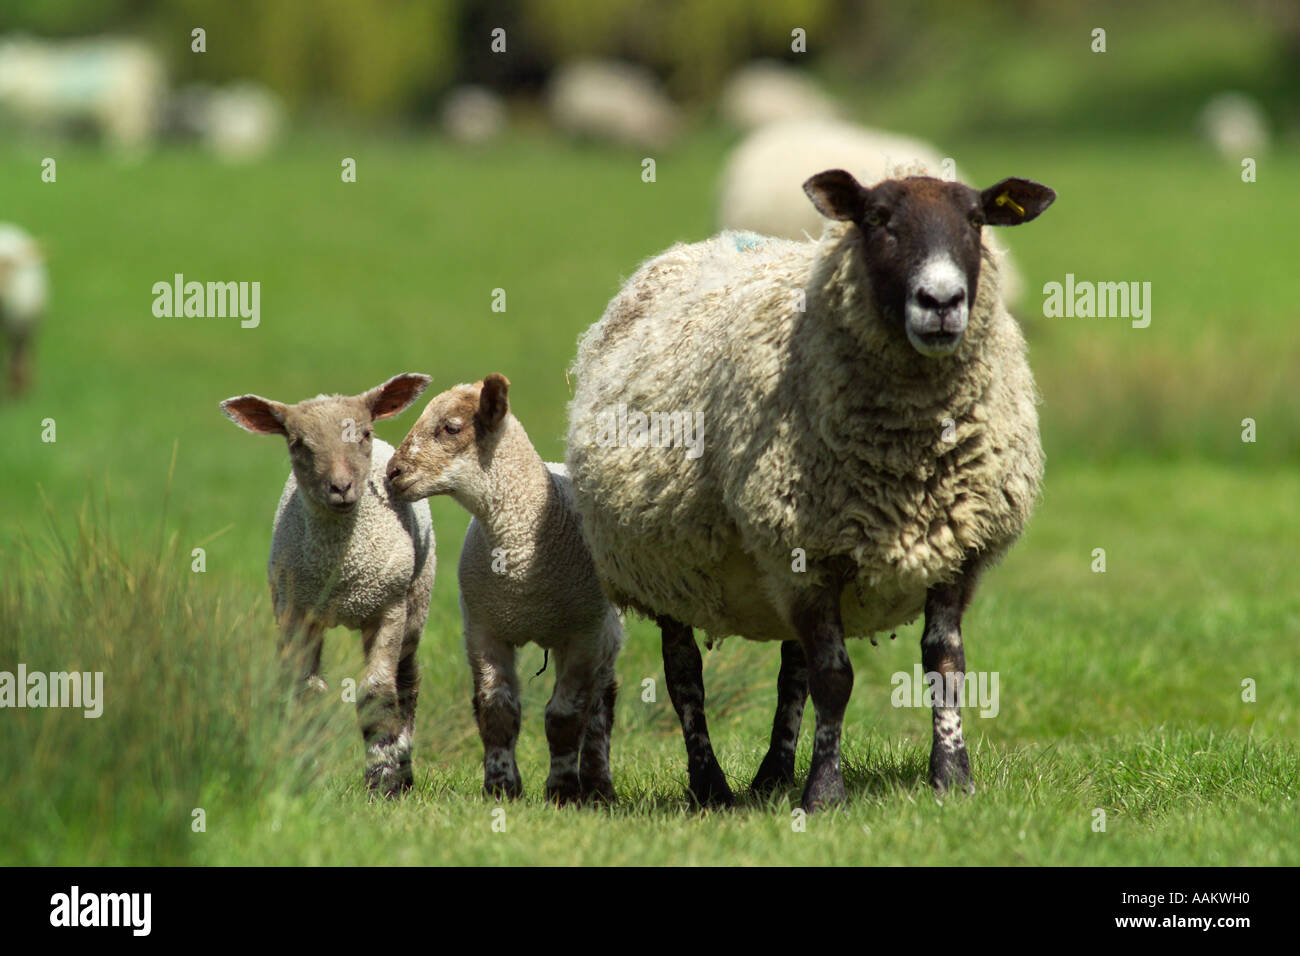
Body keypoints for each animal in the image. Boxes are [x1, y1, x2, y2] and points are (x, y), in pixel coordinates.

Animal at [220, 373, 435, 797]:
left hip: (416, 599)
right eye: (298, 443)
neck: (342, 569)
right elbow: (303, 690)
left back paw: (403, 769)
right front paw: (301, 771)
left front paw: (382, 779)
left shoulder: (388, 608)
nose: (341, 486)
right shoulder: (296, 611)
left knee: (406, 681)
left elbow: (377, 691)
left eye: (364, 433)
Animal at [386, 375, 623, 804]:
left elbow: (564, 717)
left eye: (451, 428)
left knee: (600, 704)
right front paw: (501, 787)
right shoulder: (484, 628)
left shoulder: (583, 633)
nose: (391, 472)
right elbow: (497, 711)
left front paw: (562, 790)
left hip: (607, 631)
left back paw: (598, 784)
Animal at [546, 59, 681, 150]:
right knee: (569, 135)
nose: (670, 147)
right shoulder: (623, 126)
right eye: (663, 129)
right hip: (568, 117)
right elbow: (624, 143)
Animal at [567, 168, 1056, 810]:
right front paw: (824, 793)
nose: (942, 302)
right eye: (876, 219)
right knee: (685, 674)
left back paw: (774, 775)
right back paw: (711, 785)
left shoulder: (957, 548)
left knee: (790, 669)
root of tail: (700, 247)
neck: (910, 460)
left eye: (976, 220)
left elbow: (944, 665)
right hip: (670, 567)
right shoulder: (808, 551)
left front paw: (952, 779)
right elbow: (835, 679)